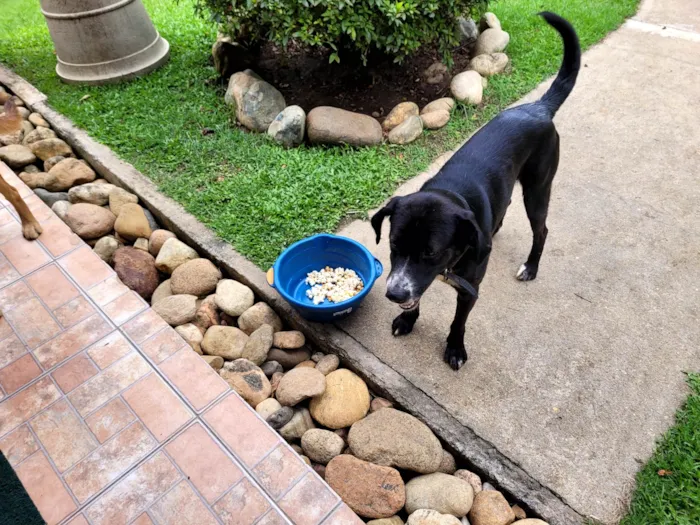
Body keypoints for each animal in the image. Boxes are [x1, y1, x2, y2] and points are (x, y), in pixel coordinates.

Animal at [372, 13, 580, 372]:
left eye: (430, 253)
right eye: (394, 244)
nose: (394, 295)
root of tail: (539, 107)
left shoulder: (470, 290)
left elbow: (458, 322)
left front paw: (455, 349)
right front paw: (408, 320)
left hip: (537, 190)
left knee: (541, 230)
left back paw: (531, 267)